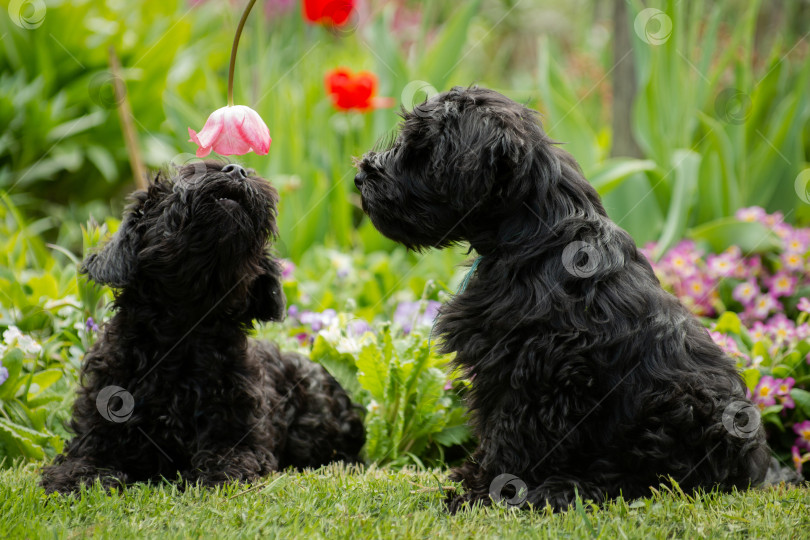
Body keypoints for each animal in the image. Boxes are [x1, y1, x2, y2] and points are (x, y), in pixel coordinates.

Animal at [40, 160, 362, 494]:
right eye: (171, 189)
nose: (237, 169)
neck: (184, 334)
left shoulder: (242, 439)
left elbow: (228, 462)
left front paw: (211, 478)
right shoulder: (99, 422)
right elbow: (82, 459)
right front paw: (75, 480)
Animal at [354, 87, 784, 510]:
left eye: (422, 148)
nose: (360, 175)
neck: (534, 237)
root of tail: (753, 467)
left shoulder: (539, 372)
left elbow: (511, 438)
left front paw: (485, 493)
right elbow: (491, 428)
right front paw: (472, 479)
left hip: (681, 406)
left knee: (641, 479)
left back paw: (562, 489)